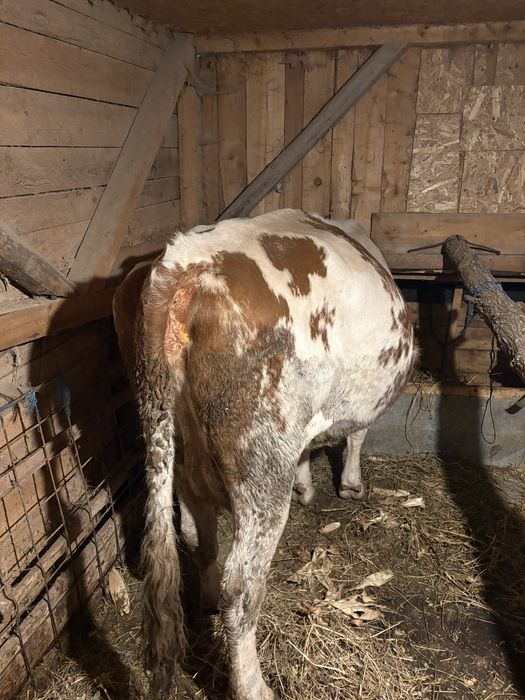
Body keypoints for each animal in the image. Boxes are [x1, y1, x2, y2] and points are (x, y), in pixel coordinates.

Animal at [112, 209, 416, 700]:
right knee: (242, 587)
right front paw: (350, 486)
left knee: (197, 535)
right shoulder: (358, 402)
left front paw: (308, 486)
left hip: (178, 445)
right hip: (261, 461)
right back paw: (253, 685)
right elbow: (357, 435)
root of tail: (178, 263)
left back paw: (207, 600)